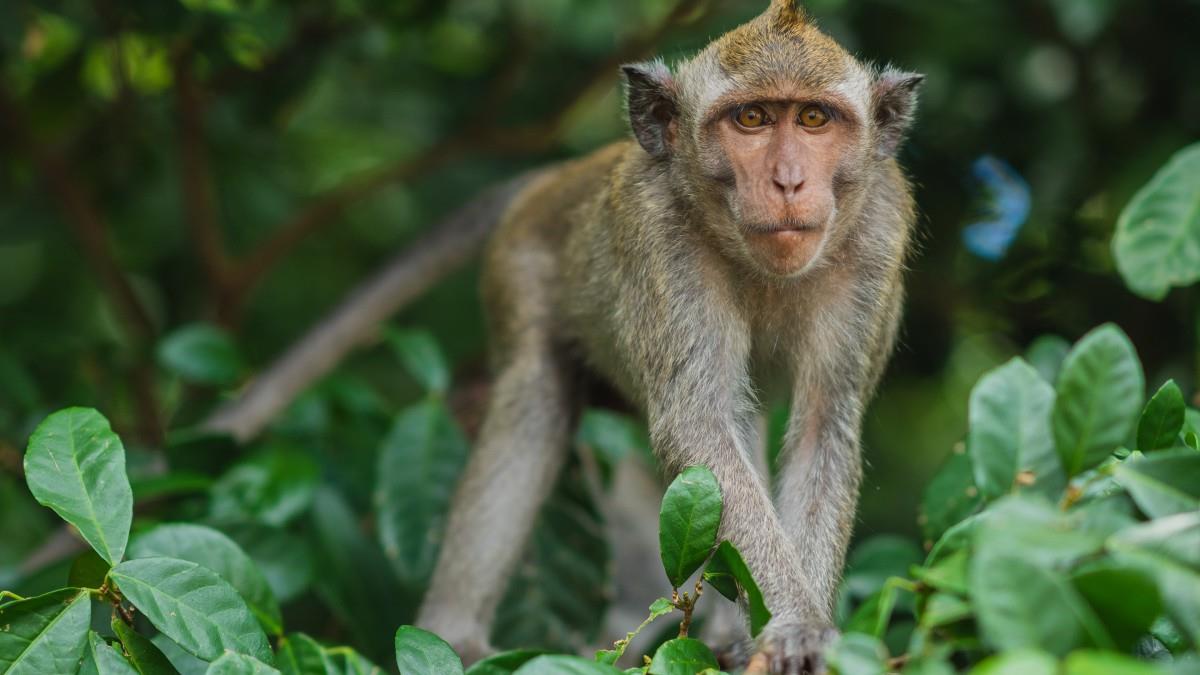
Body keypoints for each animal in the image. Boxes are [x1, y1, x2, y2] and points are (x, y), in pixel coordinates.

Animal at [412, 2, 916, 667]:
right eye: (751, 119)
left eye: (814, 119)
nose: (787, 181)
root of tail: (558, 178)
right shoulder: (659, 235)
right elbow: (698, 422)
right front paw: (798, 623)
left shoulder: (878, 234)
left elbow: (820, 424)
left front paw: (796, 631)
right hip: (517, 269)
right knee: (535, 401)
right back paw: (453, 636)